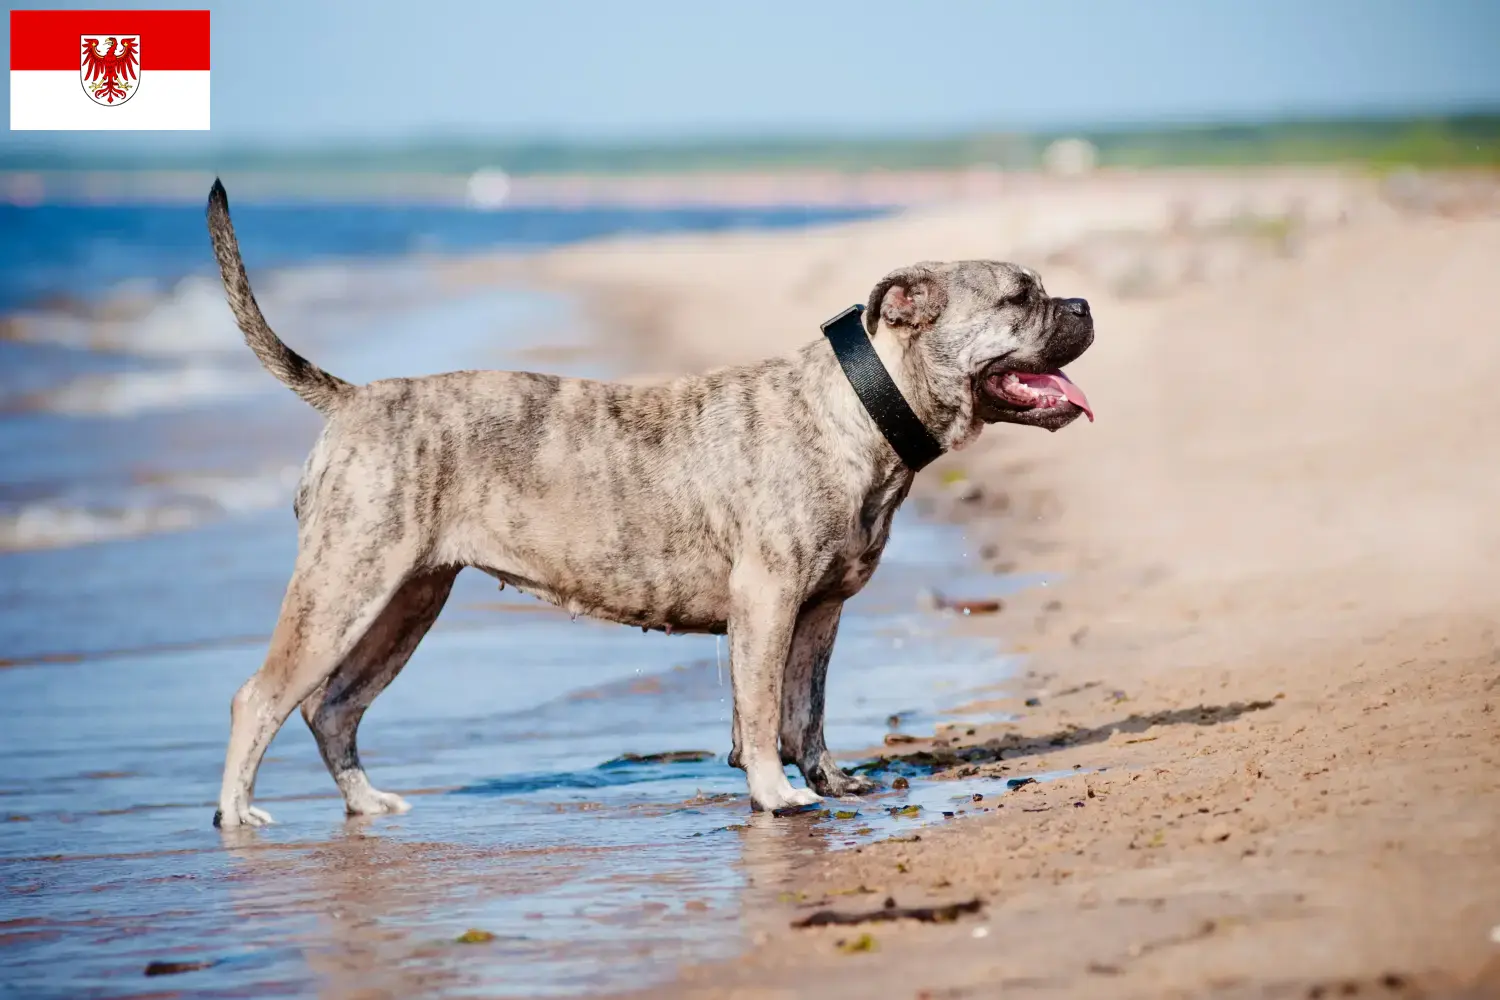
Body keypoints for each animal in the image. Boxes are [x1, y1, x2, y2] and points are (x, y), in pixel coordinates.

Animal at [205, 179, 1092, 827]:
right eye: (1020, 297)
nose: (1084, 306)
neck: (860, 404)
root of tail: (354, 398)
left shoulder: (819, 611)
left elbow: (803, 709)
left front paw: (830, 782)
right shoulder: (767, 600)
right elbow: (763, 710)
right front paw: (776, 794)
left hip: (407, 602)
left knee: (333, 708)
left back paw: (364, 803)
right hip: (343, 586)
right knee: (263, 696)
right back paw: (237, 816)